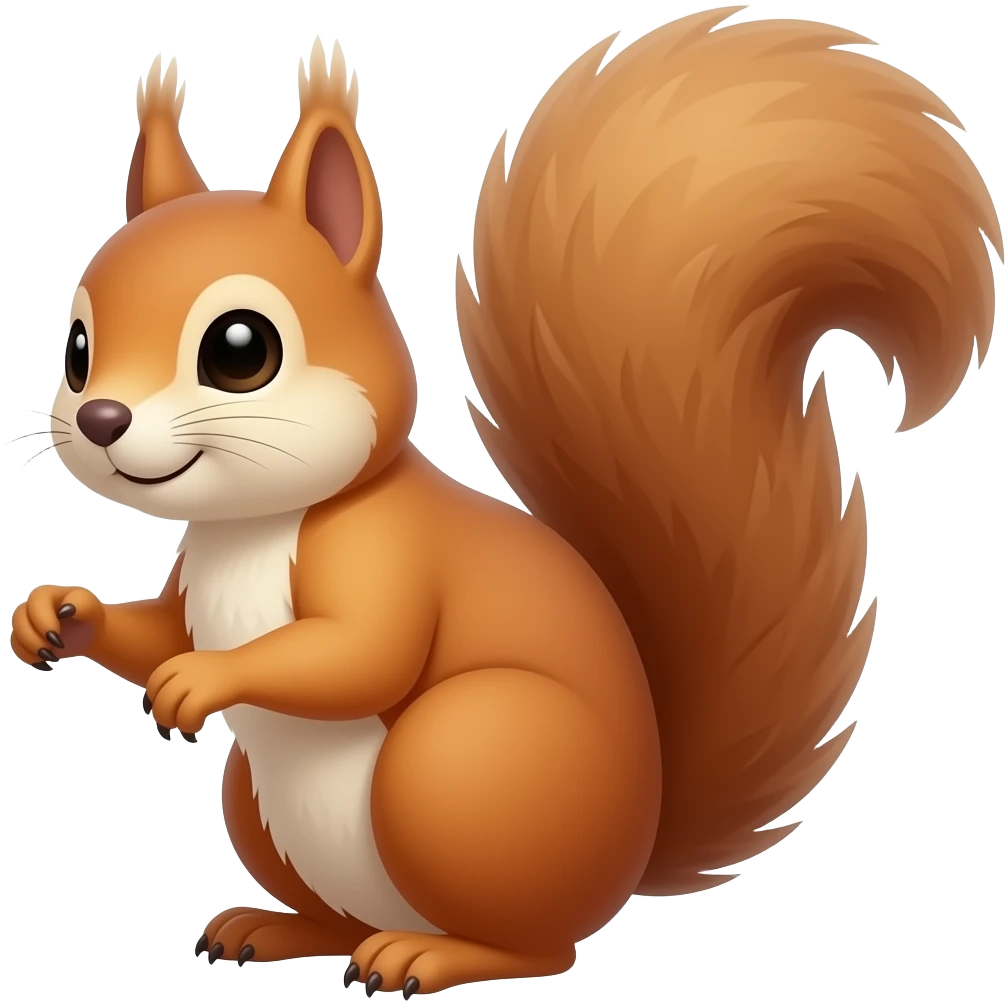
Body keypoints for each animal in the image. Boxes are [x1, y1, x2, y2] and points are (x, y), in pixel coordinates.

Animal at [10, 8, 1001, 995]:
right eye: (77, 349)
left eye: (240, 348)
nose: (99, 418)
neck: (253, 527)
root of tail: (626, 862)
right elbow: (159, 630)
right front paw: (58, 615)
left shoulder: (384, 552)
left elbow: (360, 654)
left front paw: (204, 677)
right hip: (260, 801)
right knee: (347, 919)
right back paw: (280, 928)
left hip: (462, 763)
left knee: (537, 946)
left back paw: (426, 955)